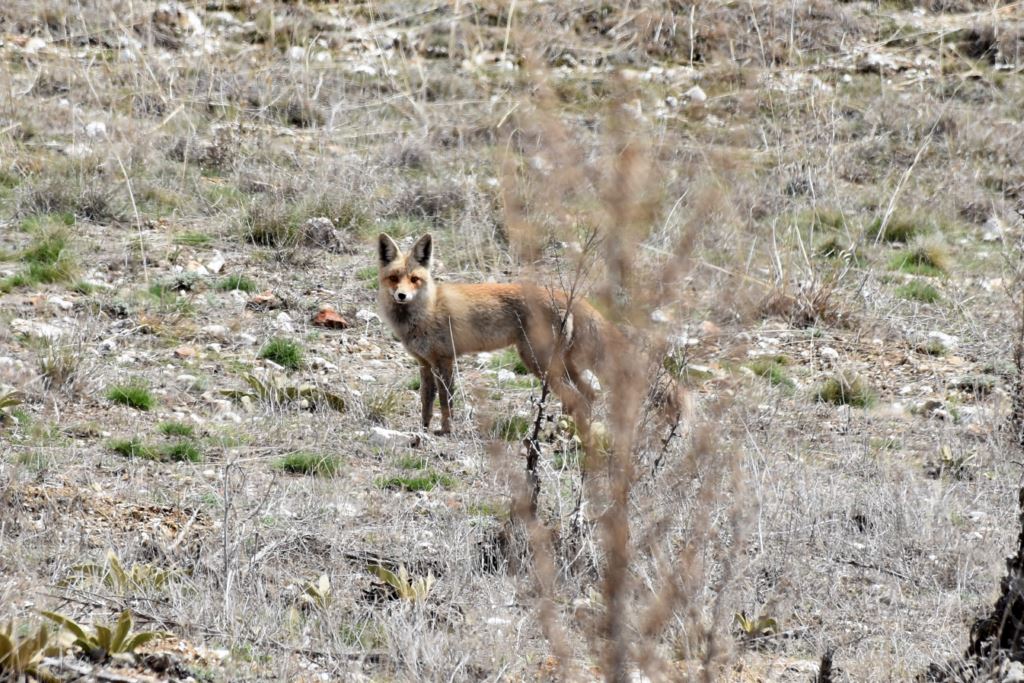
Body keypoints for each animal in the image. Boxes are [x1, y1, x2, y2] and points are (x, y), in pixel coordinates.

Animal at [376, 235, 679, 436]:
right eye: (394, 278)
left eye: (415, 279)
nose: (401, 296)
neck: (426, 310)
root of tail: (569, 296)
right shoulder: (425, 364)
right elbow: (426, 402)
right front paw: (423, 430)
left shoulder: (446, 360)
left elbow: (446, 401)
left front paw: (446, 432)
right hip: (561, 365)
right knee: (589, 394)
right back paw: (569, 433)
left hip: (539, 362)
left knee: (579, 398)